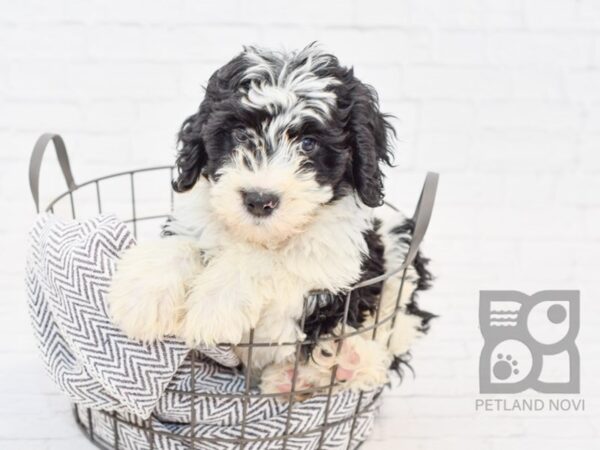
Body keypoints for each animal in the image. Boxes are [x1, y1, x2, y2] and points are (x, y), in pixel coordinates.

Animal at [109, 44, 432, 392]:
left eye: (308, 143)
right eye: (239, 134)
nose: (259, 200)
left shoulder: (336, 267)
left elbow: (267, 261)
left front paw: (215, 304)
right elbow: (184, 243)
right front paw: (144, 297)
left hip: (397, 238)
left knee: (398, 326)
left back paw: (346, 362)